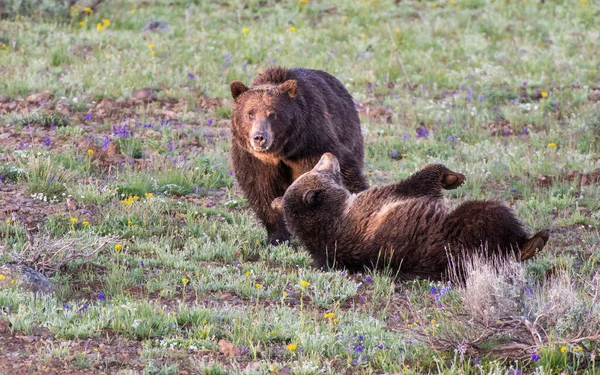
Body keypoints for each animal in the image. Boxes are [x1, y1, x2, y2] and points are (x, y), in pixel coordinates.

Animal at [230, 66, 368, 245]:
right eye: (250, 113)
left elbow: (343, 173)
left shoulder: (312, 143)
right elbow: (262, 190)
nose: (259, 137)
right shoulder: (254, 161)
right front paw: (277, 237)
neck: (281, 152)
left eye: (272, 114)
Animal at [272, 153, 548, 282]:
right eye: (319, 169)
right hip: (461, 228)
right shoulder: (374, 204)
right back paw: (532, 242)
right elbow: (414, 184)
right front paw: (452, 177)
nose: (328, 154)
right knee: (490, 216)